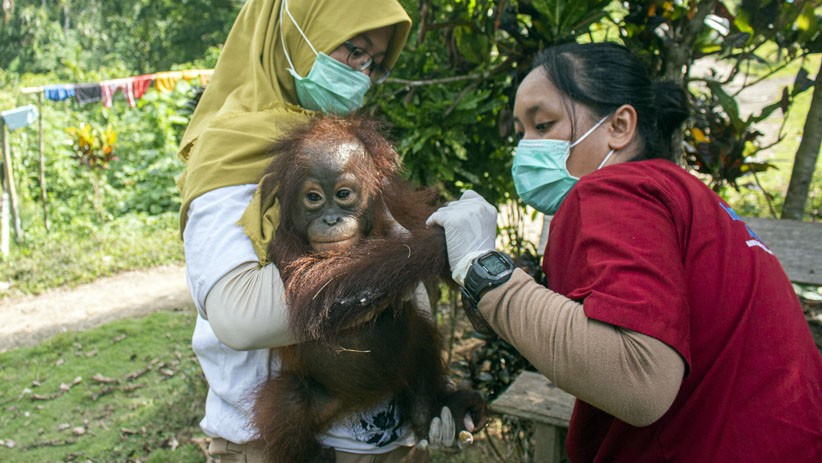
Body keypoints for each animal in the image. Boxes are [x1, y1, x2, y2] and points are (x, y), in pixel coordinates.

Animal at [251, 115, 487, 463]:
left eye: (343, 193)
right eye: (313, 198)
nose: (331, 220)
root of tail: (358, 399)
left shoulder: (395, 202)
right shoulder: (283, 238)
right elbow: (315, 288)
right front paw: (445, 241)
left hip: (404, 361)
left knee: (421, 338)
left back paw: (434, 411)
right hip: (322, 398)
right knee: (288, 402)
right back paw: (314, 455)